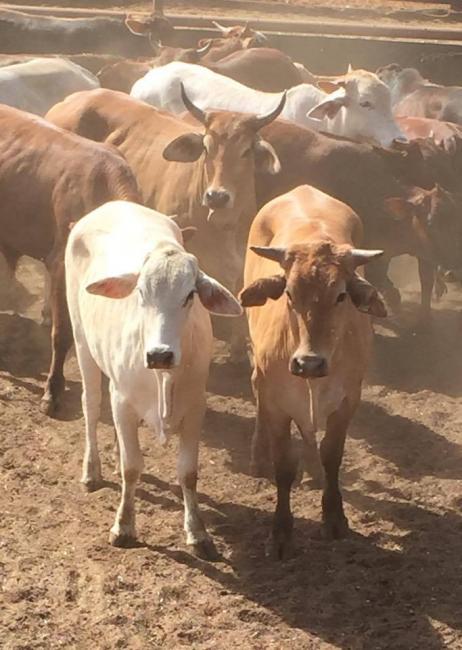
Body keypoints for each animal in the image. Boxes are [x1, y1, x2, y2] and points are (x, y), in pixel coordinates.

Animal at [65, 201, 241, 556]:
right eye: (141, 293)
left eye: (190, 295)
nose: (160, 354)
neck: (164, 378)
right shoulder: (121, 399)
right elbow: (132, 467)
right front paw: (123, 526)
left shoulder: (196, 406)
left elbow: (188, 472)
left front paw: (197, 532)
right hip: (81, 340)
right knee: (90, 404)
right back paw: (92, 470)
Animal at [239, 185, 386, 558]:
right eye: (289, 293)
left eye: (341, 295)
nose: (309, 363)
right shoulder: (276, 402)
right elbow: (282, 466)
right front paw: (280, 533)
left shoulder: (348, 399)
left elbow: (332, 454)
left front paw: (334, 518)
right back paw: (257, 457)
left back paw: (313, 471)